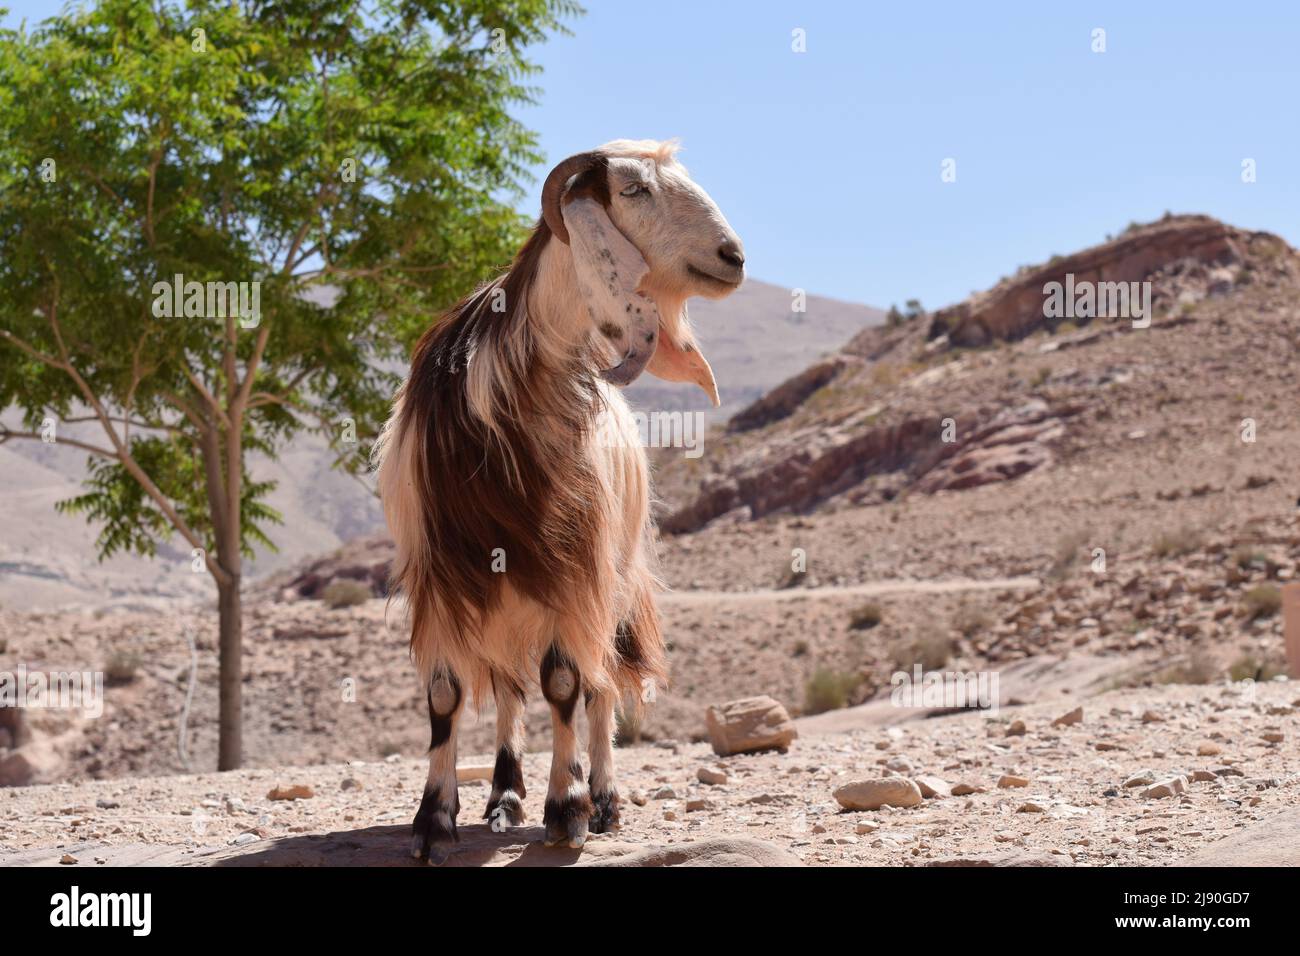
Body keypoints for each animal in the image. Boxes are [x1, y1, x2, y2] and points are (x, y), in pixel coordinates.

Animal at [371, 138, 748, 863]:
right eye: (632, 190)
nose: (733, 257)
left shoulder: (575, 569)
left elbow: (567, 684)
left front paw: (567, 808)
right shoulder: (442, 574)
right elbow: (446, 693)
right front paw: (434, 820)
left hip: (614, 578)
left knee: (597, 686)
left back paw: (601, 799)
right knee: (510, 687)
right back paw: (503, 797)